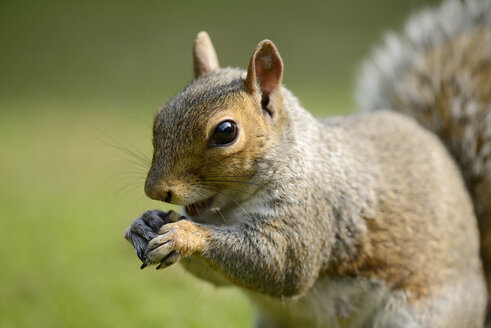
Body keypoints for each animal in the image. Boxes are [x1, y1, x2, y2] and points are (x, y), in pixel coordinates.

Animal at [125, 1, 490, 326]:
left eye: (225, 132)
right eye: (160, 116)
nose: (155, 191)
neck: (229, 211)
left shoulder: (312, 211)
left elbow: (281, 266)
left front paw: (186, 235)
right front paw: (144, 223)